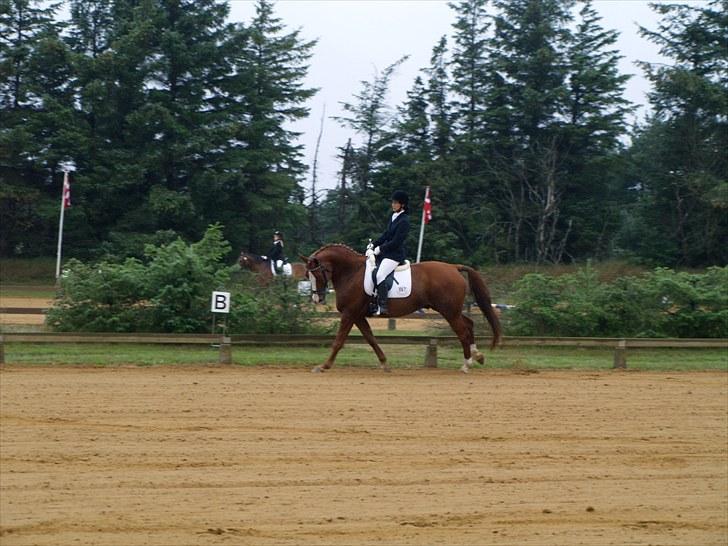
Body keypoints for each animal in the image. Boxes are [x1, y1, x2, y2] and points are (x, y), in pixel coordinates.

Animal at [304, 244, 504, 372]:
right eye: (308, 275)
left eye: (317, 274)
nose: (316, 298)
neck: (351, 272)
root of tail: (454, 267)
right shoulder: (358, 316)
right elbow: (371, 338)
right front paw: (385, 364)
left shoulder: (349, 314)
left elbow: (338, 341)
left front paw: (323, 366)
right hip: (452, 310)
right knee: (469, 325)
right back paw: (477, 356)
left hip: (449, 311)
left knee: (462, 331)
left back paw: (466, 364)